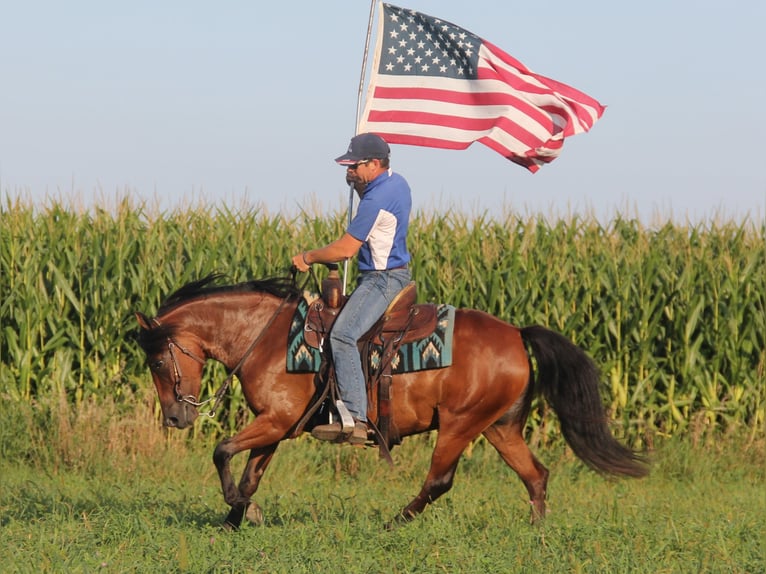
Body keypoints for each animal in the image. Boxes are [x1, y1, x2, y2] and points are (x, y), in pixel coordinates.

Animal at [136, 274, 648, 532]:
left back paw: (392, 523)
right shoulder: (275, 425)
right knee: (535, 476)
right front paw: (236, 517)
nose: (176, 416)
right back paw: (536, 534)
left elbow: (221, 451)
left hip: (460, 424)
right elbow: (250, 473)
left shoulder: (275, 420)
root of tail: (517, 335)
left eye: (158, 360)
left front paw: (240, 510)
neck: (269, 338)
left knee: (439, 481)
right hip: (499, 427)